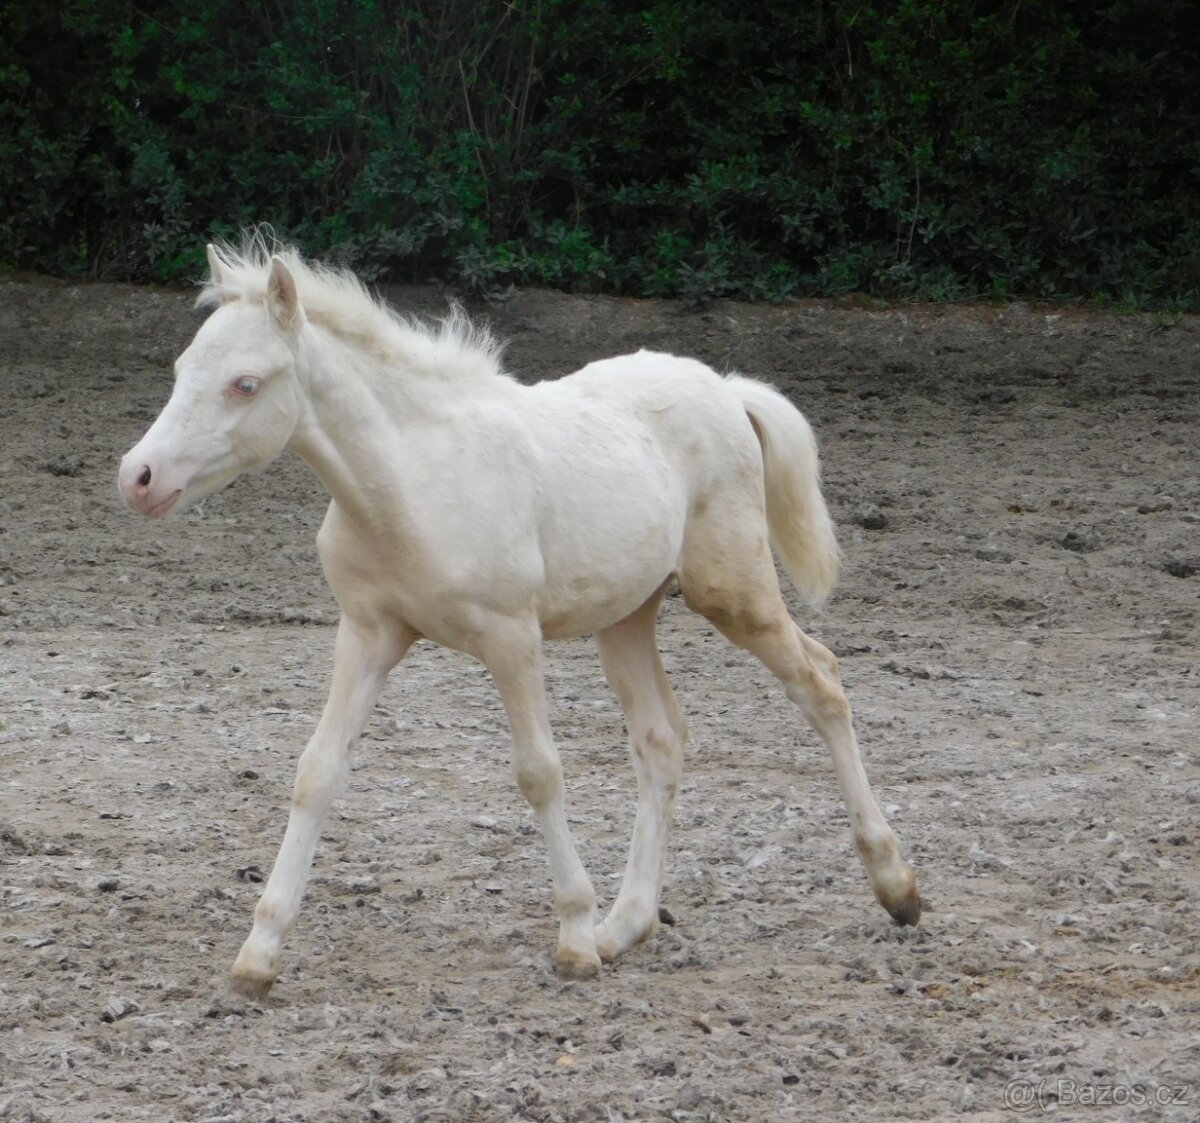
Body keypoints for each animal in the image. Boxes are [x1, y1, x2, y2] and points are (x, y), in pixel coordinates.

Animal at [117, 235, 920, 999]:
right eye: (182, 367)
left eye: (245, 383)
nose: (138, 477)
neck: (408, 481)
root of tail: (724, 387)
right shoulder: (369, 633)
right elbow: (317, 771)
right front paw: (258, 954)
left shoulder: (511, 637)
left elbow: (540, 772)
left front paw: (571, 939)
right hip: (627, 614)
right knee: (662, 738)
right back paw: (625, 925)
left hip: (733, 590)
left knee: (821, 681)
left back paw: (896, 887)